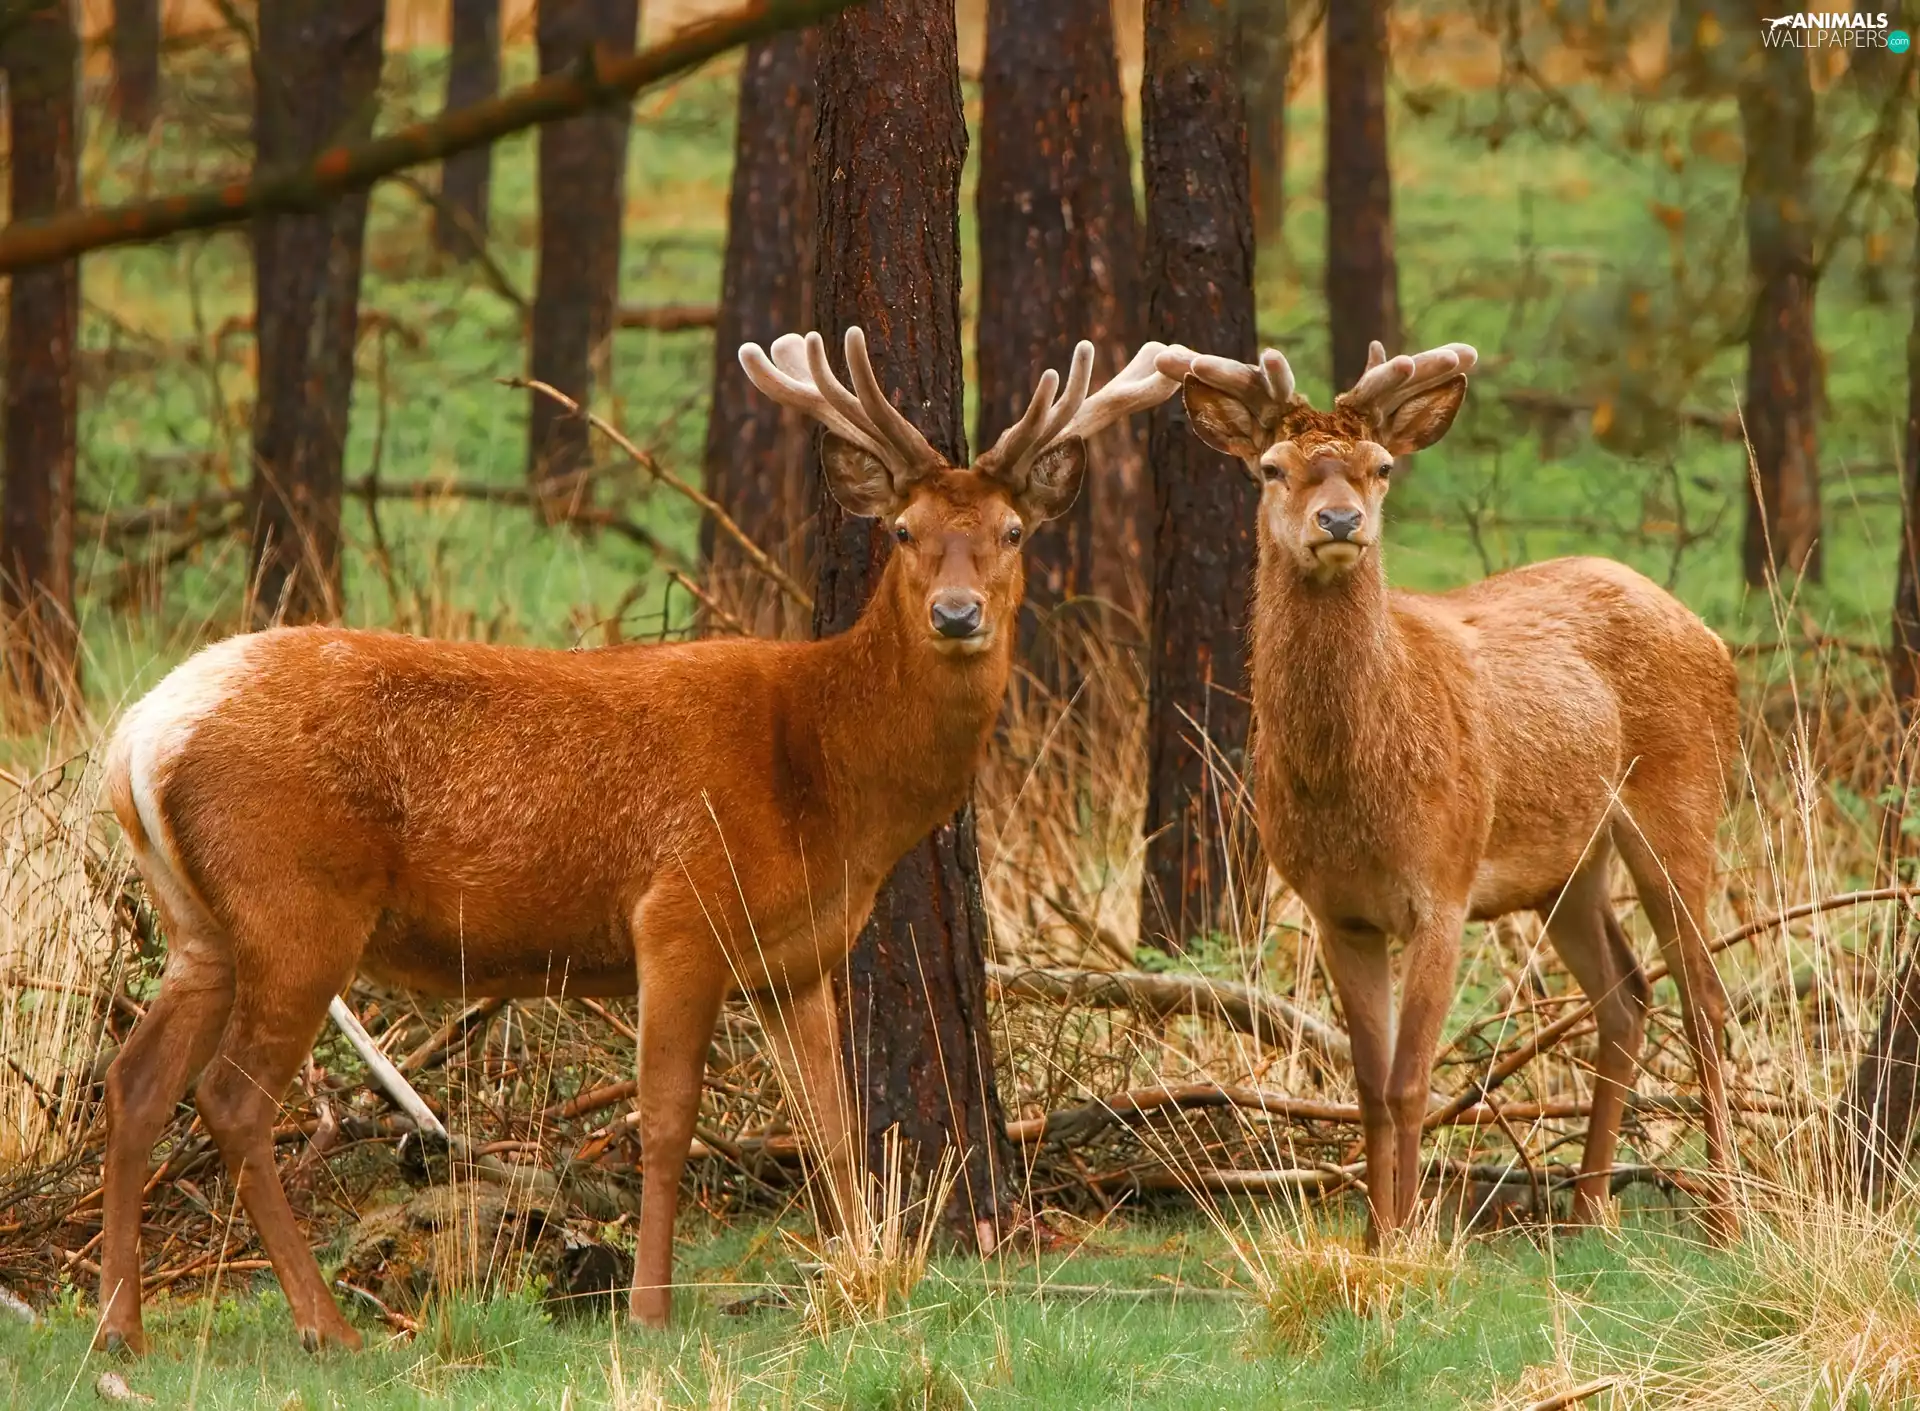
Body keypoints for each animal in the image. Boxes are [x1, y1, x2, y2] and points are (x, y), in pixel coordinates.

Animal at [93, 326, 1193, 1354]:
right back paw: (326, 1325)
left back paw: (120, 1327)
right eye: (904, 528)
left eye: (1011, 530)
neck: (827, 785)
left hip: (201, 923)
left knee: (137, 1081)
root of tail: (138, 732)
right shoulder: (678, 912)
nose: (957, 612)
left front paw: (867, 1281)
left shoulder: (796, 960)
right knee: (230, 1098)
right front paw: (651, 1309)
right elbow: (665, 1123)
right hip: (298, 903)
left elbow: (833, 1128)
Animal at [1160, 339, 1741, 1244]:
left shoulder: (1444, 881)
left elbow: (1410, 1080)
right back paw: (1585, 1209)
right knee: (1627, 992)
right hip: (1567, 866)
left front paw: (1407, 1237)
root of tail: (1713, 637)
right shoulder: (1335, 909)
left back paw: (1724, 1217)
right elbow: (1368, 1085)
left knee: (1706, 998)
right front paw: (1373, 1234)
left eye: (1381, 466)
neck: (1353, 788)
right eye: (1271, 468)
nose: (1340, 523)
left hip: (1682, 801)